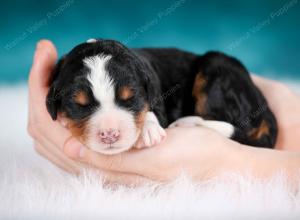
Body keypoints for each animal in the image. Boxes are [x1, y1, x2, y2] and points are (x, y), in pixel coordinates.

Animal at [45, 38, 278, 155]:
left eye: (130, 99)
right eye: (79, 105)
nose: (110, 134)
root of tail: (264, 105)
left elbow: (152, 110)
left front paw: (148, 130)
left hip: (217, 70)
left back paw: (189, 123)